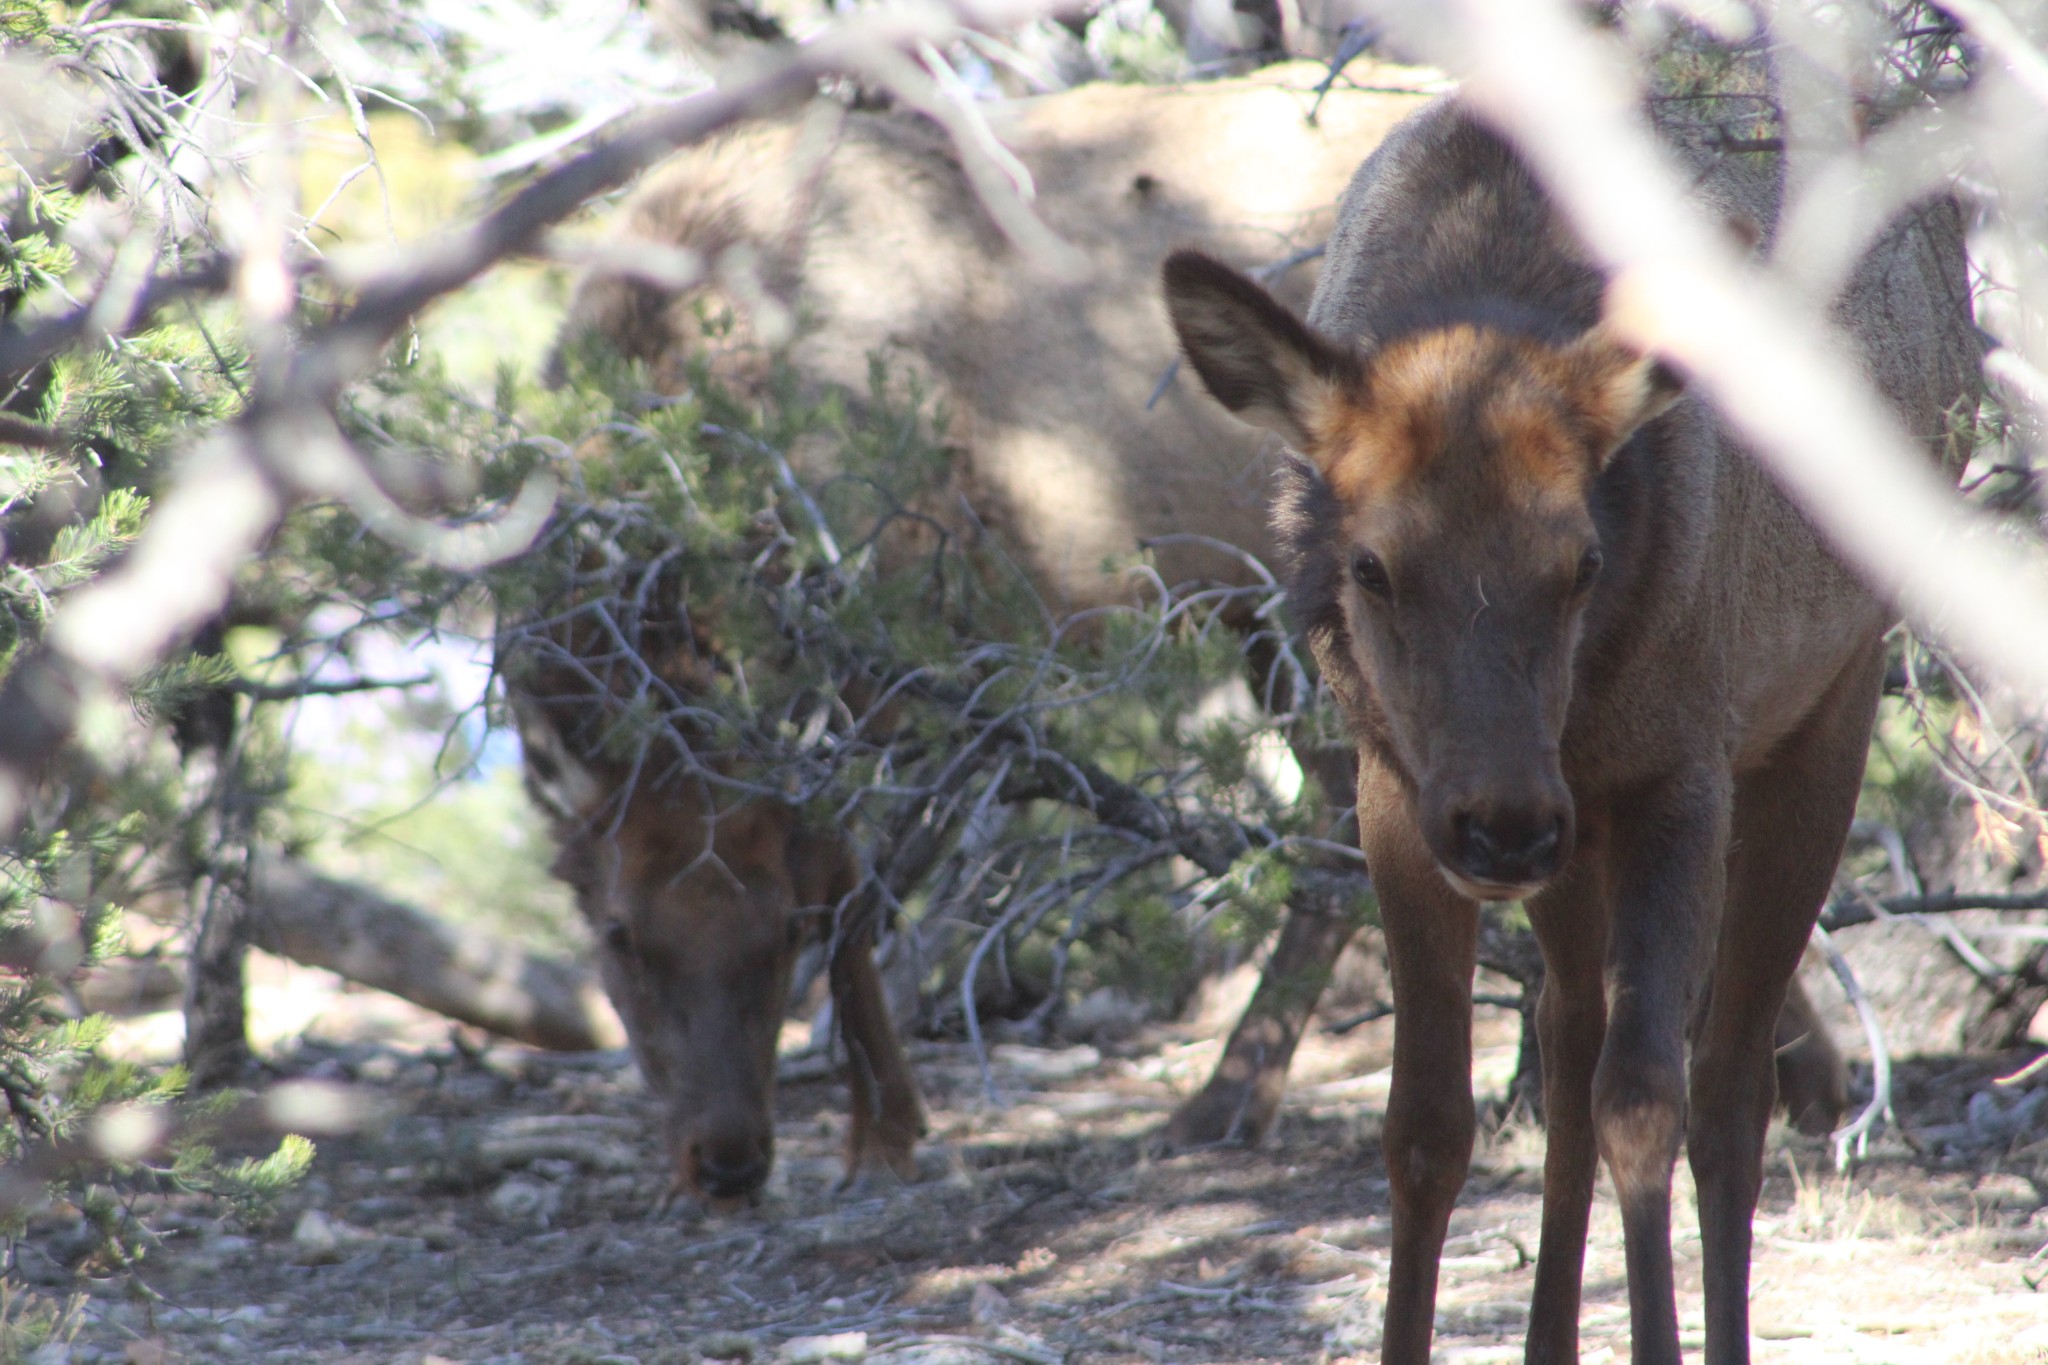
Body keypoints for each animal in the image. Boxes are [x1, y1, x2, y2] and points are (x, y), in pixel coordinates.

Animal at [512, 58, 1441, 1203]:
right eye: (616, 933)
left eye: (777, 931)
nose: (724, 1160)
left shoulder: (902, 642)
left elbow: (858, 891)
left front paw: (885, 1131)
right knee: (1333, 792)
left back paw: (1231, 1097)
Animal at [1163, 96, 1974, 1365]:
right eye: (1369, 566)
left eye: (1580, 560)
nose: (1500, 827)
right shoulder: (1397, 789)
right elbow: (1426, 1124)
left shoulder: (1679, 770)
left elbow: (1644, 1100)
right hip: (1575, 824)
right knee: (1564, 1035)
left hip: (1820, 700)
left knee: (1726, 1084)